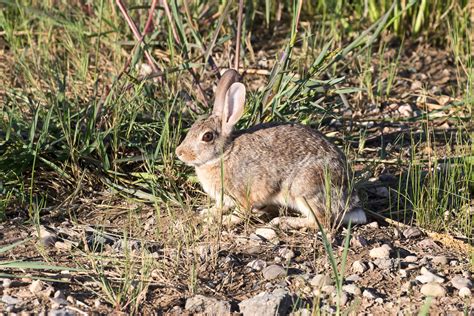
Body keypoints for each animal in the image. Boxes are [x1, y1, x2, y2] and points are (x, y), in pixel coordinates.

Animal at [176, 69, 364, 228]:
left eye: (207, 136)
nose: (179, 153)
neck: (223, 154)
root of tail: (348, 199)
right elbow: (219, 207)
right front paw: (207, 213)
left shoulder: (242, 194)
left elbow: (242, 213)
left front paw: (223, 221)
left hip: (304, 189)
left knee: (321, 221)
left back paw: (283, 221)